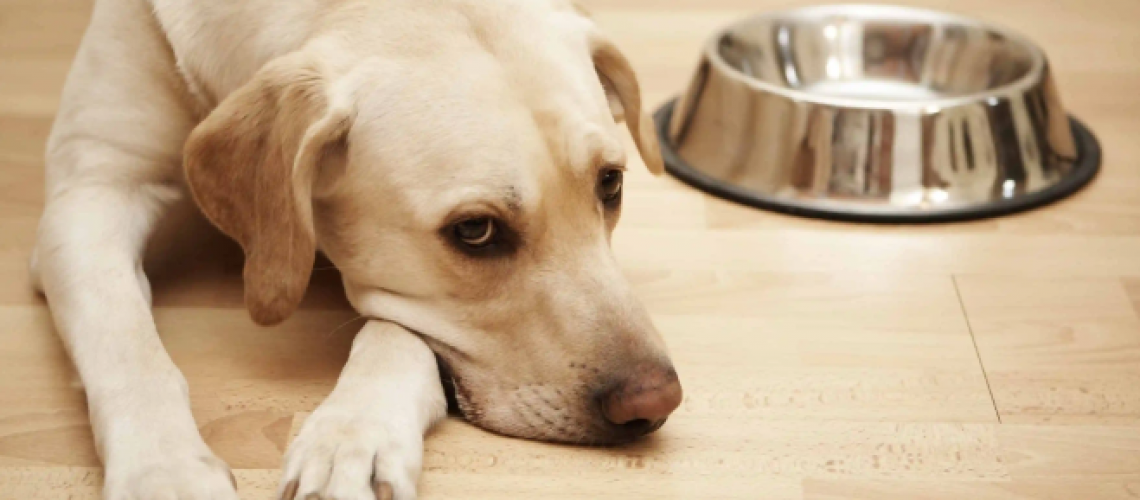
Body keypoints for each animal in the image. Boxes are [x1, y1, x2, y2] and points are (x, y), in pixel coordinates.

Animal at [31, 0, 679, 498]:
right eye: (475, 230)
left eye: (610, 184)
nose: (656, 401)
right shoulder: (90, 193)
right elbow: (127, 345)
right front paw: (165, 473)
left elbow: (396, 334)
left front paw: (353, 438)